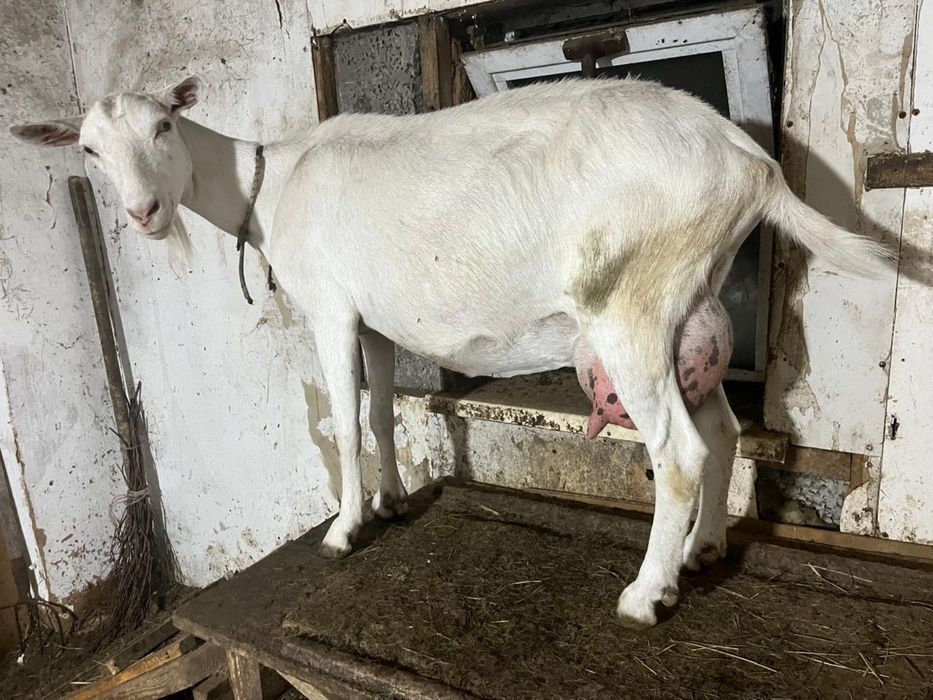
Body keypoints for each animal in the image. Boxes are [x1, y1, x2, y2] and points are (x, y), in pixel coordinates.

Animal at [11, 76, 888, 629]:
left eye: (163, 125)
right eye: (87, 151)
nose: (144, 212)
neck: (271, 187)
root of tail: (753, 167)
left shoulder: (330, 308)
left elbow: (343, 417)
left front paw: (345, 529)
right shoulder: (371, 321)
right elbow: (379, 413)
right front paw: (395, 502)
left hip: (628, 304)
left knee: (677, 451)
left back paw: (646, 595)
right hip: (687, 310)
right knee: (722, 433)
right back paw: (702, 552)